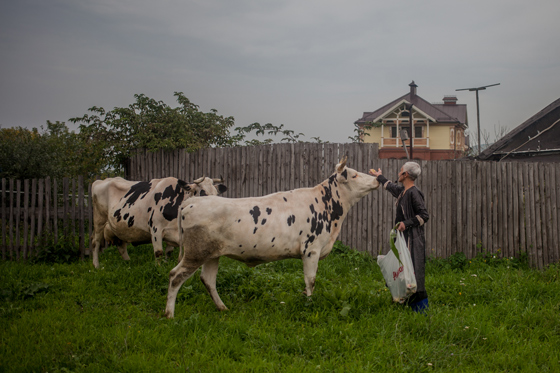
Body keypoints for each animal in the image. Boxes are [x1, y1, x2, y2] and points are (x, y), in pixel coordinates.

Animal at [164, 157, 378, 316]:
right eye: (354, 174)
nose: (377, 179)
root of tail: (191, 202)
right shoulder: (311, 249)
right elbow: (310, 280)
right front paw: (310, 304)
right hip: (195, 253)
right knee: (175, 275)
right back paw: (169, 314)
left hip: (212, 254)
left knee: (208, 280)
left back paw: (223, 308)